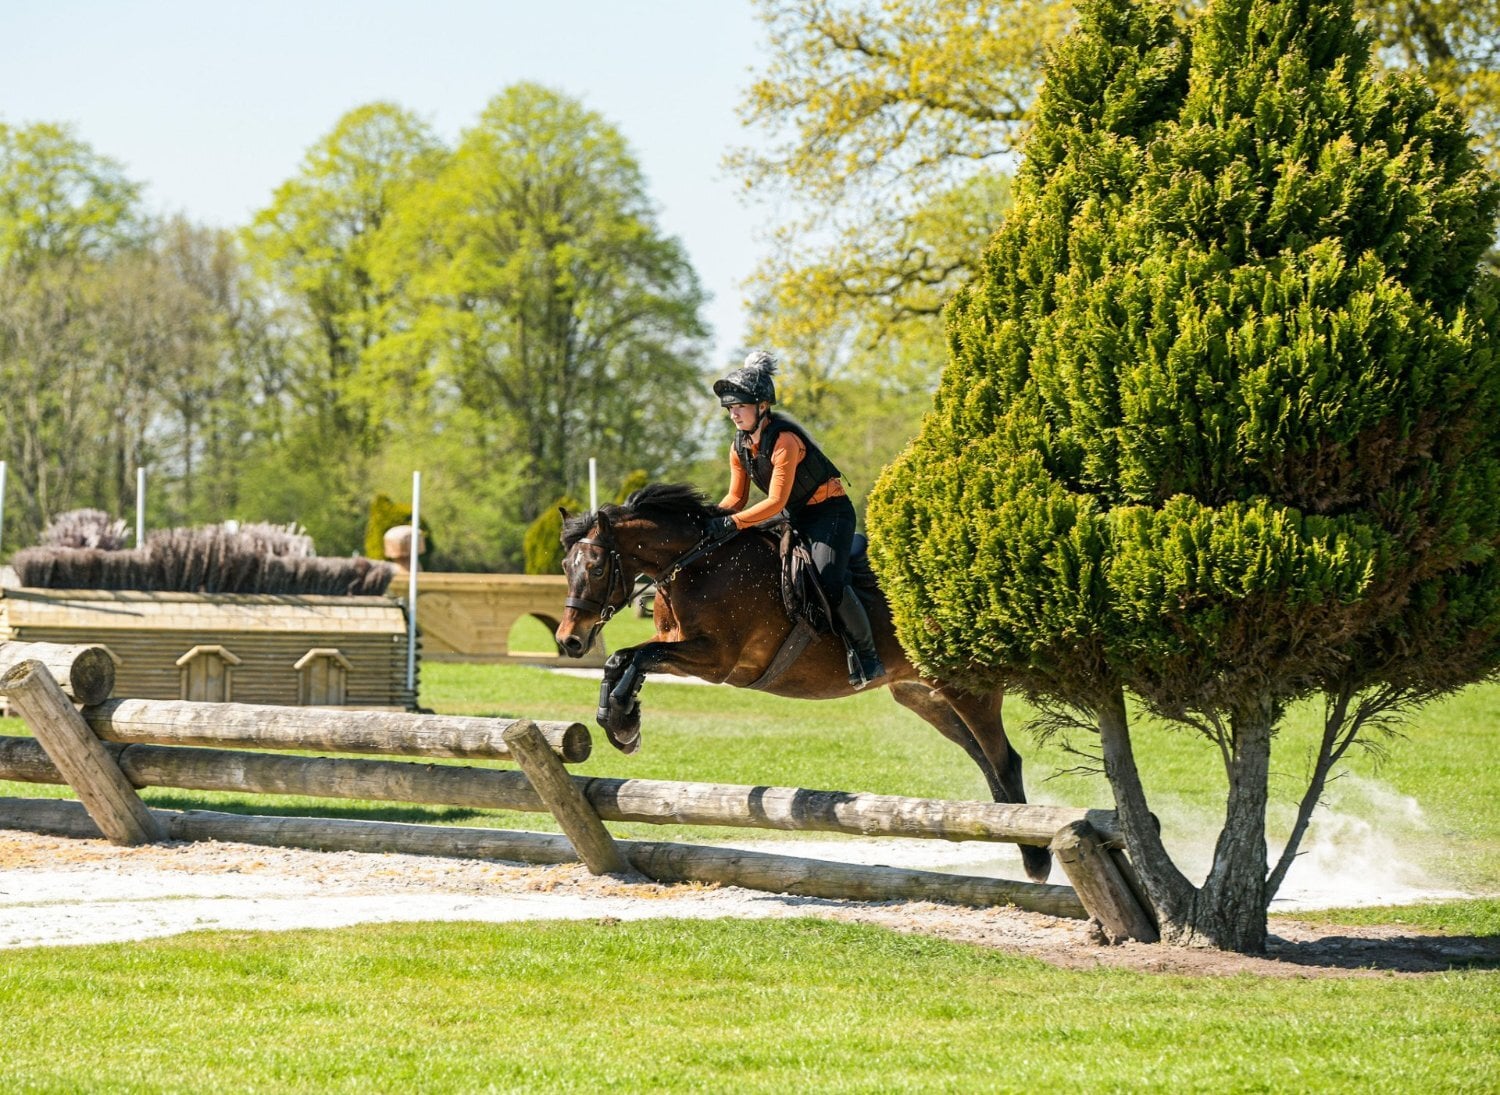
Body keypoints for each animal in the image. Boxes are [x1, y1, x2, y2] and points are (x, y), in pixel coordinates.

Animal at [554, 482, 1050, 883]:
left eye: (596, 567)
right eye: (564, 565)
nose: (569, 641)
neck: (696, 563)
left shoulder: (716, 660)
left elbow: (634, 657)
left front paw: (624, 722)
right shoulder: (679, 648)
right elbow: (624, 660)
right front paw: (621, 722)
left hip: (964, 688)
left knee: (1004, 760)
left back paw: (1036, 859)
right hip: (921, 695)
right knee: (983, 758)